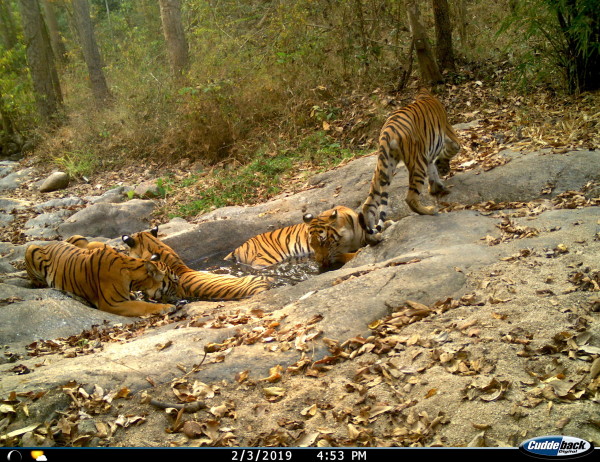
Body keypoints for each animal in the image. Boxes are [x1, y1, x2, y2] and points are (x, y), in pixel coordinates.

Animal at [24, 238, 179, 318]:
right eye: (175, 281)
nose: (181, 296)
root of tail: (49, 243)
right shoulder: (112, 303)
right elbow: (143, 305)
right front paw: (166, 307)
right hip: (31, 249)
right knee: (35, 281)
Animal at [358, 87, 462, 235]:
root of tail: (387, 131)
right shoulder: (449, 135)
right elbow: (450, 151)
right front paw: (441, 170)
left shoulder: (428, 155)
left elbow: (432, 171)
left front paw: (436, 187)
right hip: (417, 162)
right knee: (410, 198)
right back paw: (430, 210)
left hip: (385, 166)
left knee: (368, 204)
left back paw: (375, 234)